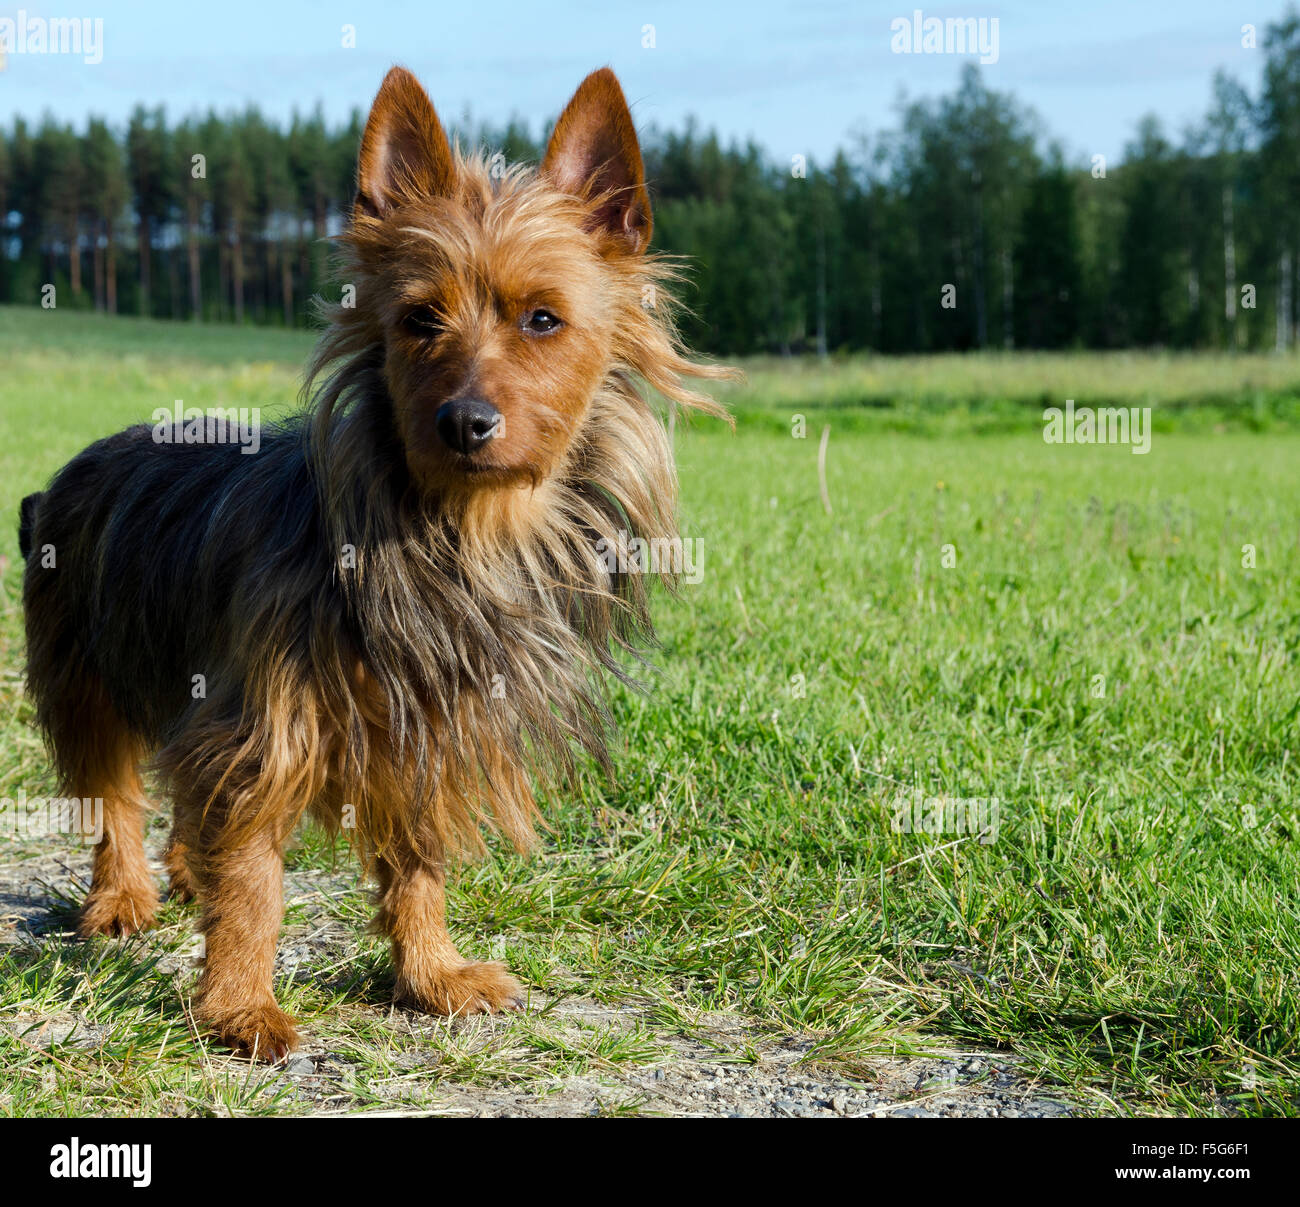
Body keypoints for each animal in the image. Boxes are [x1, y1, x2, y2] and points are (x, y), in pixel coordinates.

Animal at [17, 66, 733, 1061]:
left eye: (543, 319)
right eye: (419, 319)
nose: (465, 421)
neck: (457, 535)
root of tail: (66, 474)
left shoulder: (429, 725)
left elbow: (416, 864)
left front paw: (430, 973)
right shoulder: (263, 723)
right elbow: (256, 883)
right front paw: (240, 1005)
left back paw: (185, 873)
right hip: (85, 672)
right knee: (110, 794)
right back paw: (124, 895)